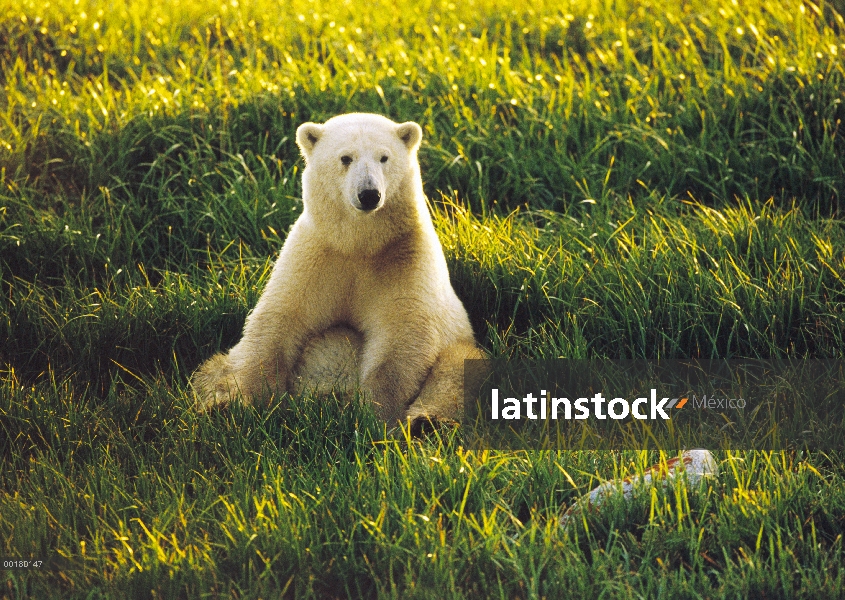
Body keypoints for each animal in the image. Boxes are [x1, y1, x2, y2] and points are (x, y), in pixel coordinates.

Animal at [192, 111, 482, 422]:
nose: (369, 194)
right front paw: (247, 401)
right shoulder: (316, 255)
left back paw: (425, 421)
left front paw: (374, 412)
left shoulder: (404, 259)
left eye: (384, 157)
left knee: (458, 368)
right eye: (345, 158)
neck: (358, 245)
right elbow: (277, 320)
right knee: (215, 368)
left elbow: (402, 336)